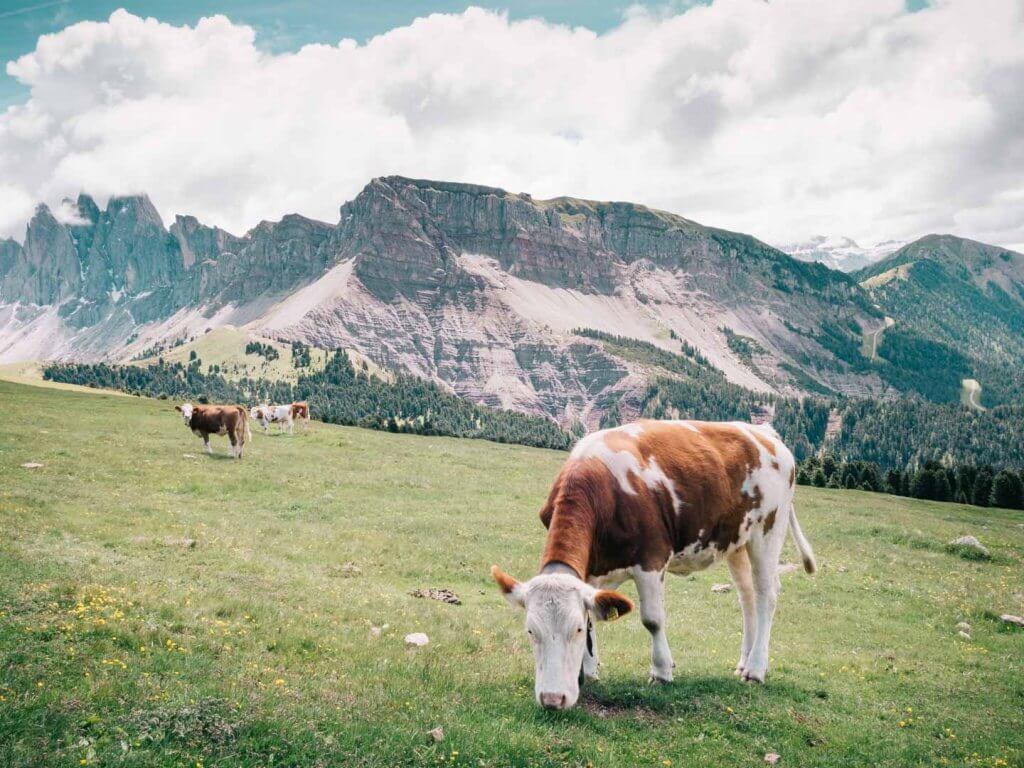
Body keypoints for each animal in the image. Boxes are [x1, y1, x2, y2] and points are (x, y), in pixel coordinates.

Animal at [491, 421, 819, 708]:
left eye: (576, 630)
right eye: (530, 632)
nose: (552, 699)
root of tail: (763, 431)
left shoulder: (651, 559)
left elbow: (652, 620)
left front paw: (661, 671)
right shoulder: (592, 572)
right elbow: (595, 613)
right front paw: (591, 670)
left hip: (768, 531)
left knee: (766, 595)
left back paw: (755, 669)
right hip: (737, 541)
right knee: (747, 597)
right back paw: (743, 662)